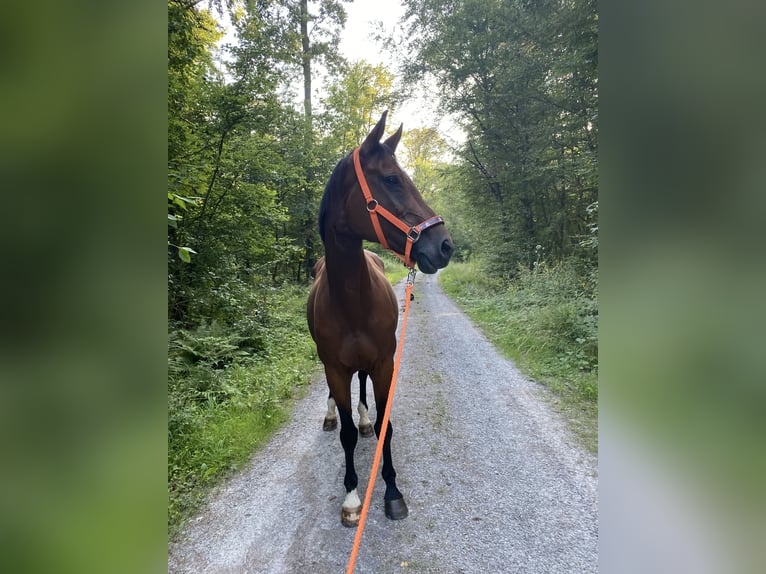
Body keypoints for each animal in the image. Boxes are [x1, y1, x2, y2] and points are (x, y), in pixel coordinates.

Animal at [306, 110, 452, 528]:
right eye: (390, 179)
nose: (444, 246)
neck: (353, 302)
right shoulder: (335, 369)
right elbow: (347, 437)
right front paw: (352, 496)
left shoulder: (386, 362)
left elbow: (387, 426)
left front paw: (391, 491)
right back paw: (333, 416)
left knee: (364, 389)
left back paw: (365, 418)